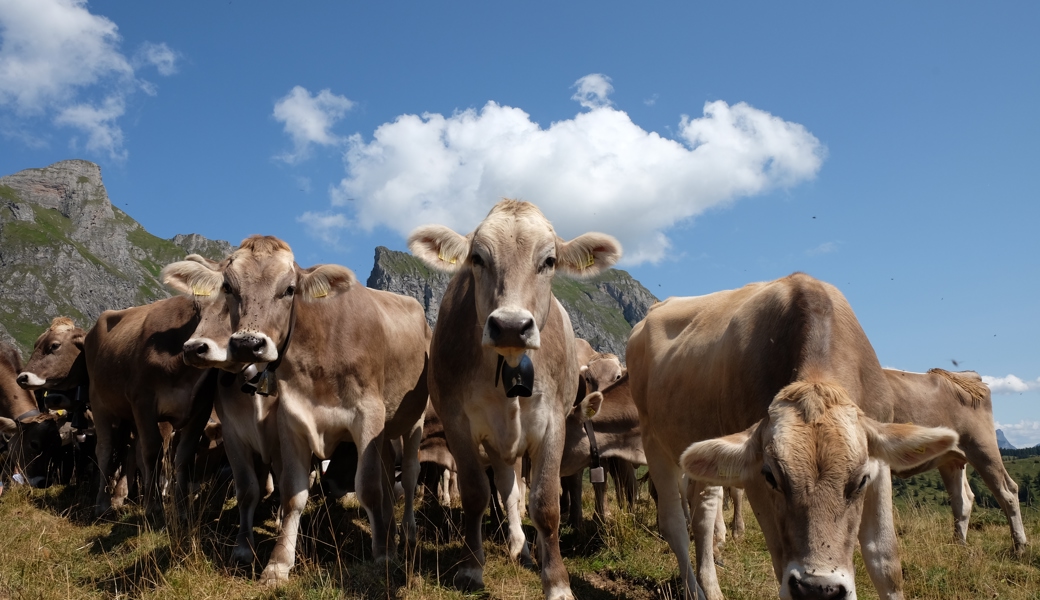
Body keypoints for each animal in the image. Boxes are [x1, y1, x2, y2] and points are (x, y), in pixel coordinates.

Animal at [160, 235, 428, 586]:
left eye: (289, 289)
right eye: (229, 287)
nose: (247, 344)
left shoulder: (368, 416)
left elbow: (368, 488)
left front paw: (382, 556)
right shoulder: (289, 422)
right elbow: (289, 494)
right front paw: (277, 564)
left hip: (412, 421)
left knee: (407, 478)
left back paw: (406, 534)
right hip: (382, 437)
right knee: (386, 477)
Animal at [403, 198, 615, 594]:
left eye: (549, 261)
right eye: (477, 258)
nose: (512, 326)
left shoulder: (554, 423)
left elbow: (545, 502)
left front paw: (557, 583)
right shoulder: (458, 423)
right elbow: (475, 494)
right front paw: (472, 568)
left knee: (517, 492)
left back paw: (528, 548)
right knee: (506, 489)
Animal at [624, 274, 956, 598]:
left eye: (861, 480)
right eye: (772, 476)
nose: (819, 589)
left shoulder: (880, 464)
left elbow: (884, 560)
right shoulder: (755, 481)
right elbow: (778, 557)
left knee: (703, 515)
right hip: (655, 442)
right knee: (674, 524)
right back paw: (694, 589)